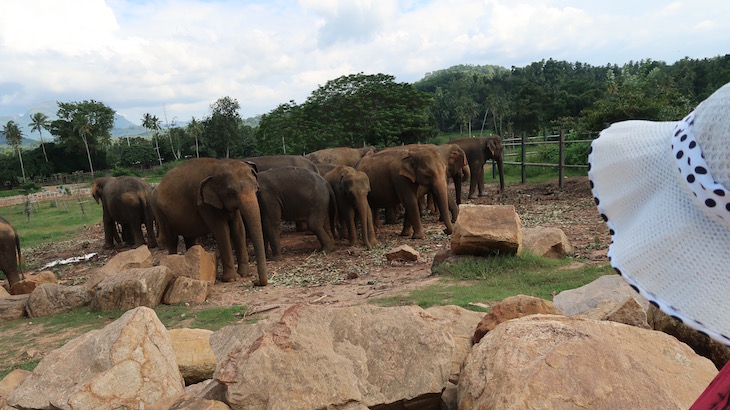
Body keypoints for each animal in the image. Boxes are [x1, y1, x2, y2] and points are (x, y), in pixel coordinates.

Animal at [151, 157, 268, 286]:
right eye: (231, 193)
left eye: (256, 188)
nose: (255, 281)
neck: (216, 166)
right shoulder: (204, 204)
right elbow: (222, 231)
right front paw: (232, 279)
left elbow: (238, 229)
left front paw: (245, 274)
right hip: (163, 215)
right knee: (172, 239)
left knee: (189, 238)